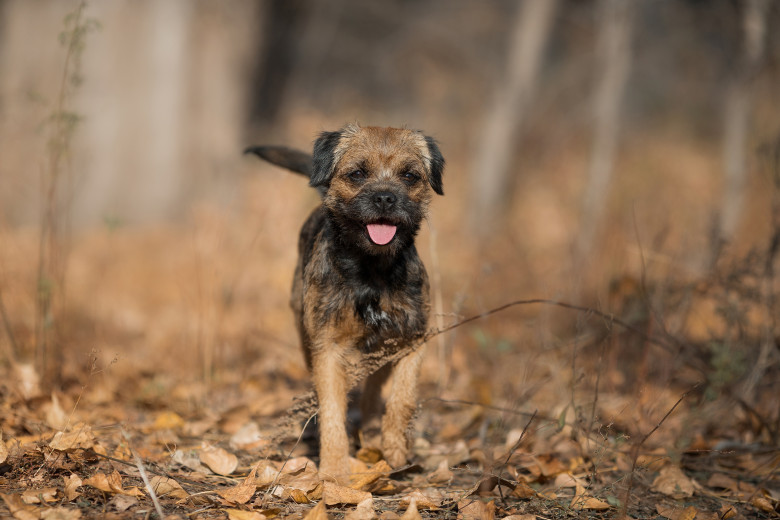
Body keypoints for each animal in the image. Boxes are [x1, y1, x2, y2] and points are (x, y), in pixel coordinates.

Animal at [247, 124, 442, 482]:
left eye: (410, 175)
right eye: (357, 173)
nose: (385, 197)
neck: (371, 271)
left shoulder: (413, 339)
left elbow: (403, 397)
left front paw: (396, 448)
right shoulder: (328, 349)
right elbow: (332, 409)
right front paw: (335, 472)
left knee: (374, 392)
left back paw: (372, 431)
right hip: (306, 336)